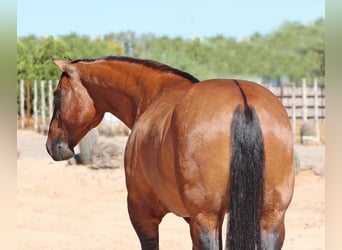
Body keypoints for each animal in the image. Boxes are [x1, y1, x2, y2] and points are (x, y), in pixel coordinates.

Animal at [46, 56, 296, 250]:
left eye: (57, 95)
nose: (52, 146)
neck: (156, 93)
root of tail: (242, 102)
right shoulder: (193, 219)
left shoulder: (142, 212)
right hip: (271, 216)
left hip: (206, 218)